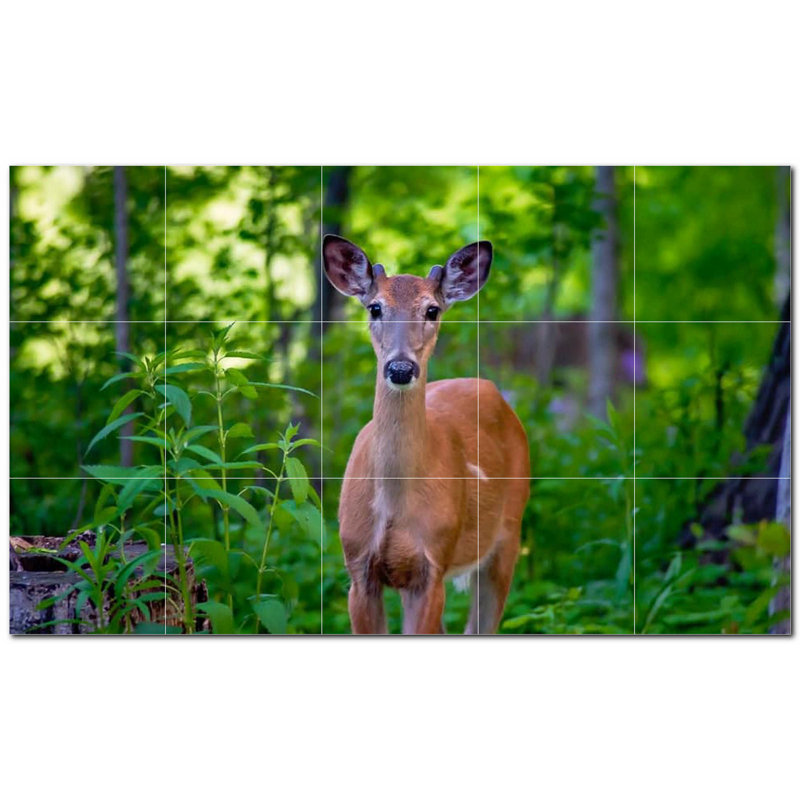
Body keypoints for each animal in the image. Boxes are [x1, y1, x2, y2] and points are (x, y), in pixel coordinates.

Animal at [323, 235, 530, 634]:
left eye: (432, 310)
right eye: (375, 307)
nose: (401, 368)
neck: (393, 505)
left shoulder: (433, 564)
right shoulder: (358, 568)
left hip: (508, 534)